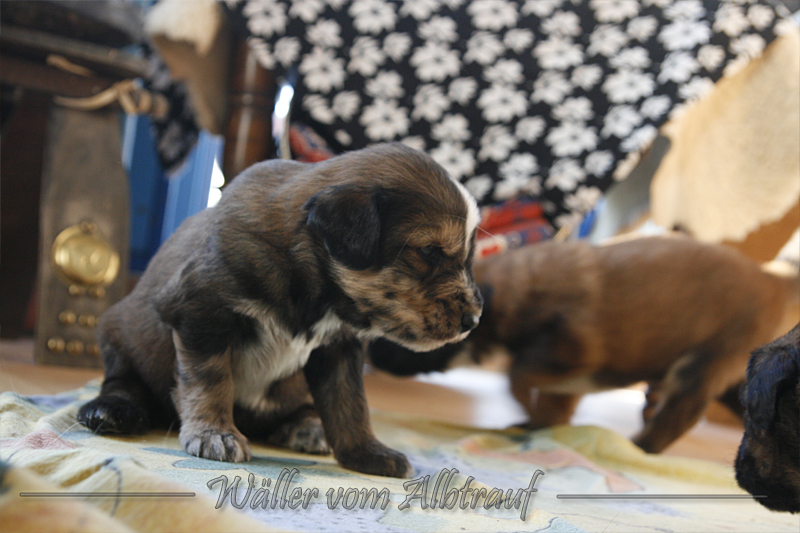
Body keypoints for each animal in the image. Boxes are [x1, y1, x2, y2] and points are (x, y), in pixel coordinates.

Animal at [78, 143, 483, 478]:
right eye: (428, 251)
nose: (473, 321)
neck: (318, 294)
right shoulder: (200, 312)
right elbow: (209, 380)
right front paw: (215, 434)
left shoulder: (338, 347)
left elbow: (350, 403)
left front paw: (367, 453)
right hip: (117, 334)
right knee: (122, 382)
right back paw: (109, 411)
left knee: (305, 406)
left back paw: (308, 427)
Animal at [369, 236, 799, 454]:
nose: (370, 354)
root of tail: (772, 278)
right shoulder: (568, 374)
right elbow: (550, 399)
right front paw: (538, 424)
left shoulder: (569, 349)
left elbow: (517, 375)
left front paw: (529, 412)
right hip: (731, 374)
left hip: (701, 364)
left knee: (683, 412)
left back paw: (643, 446)